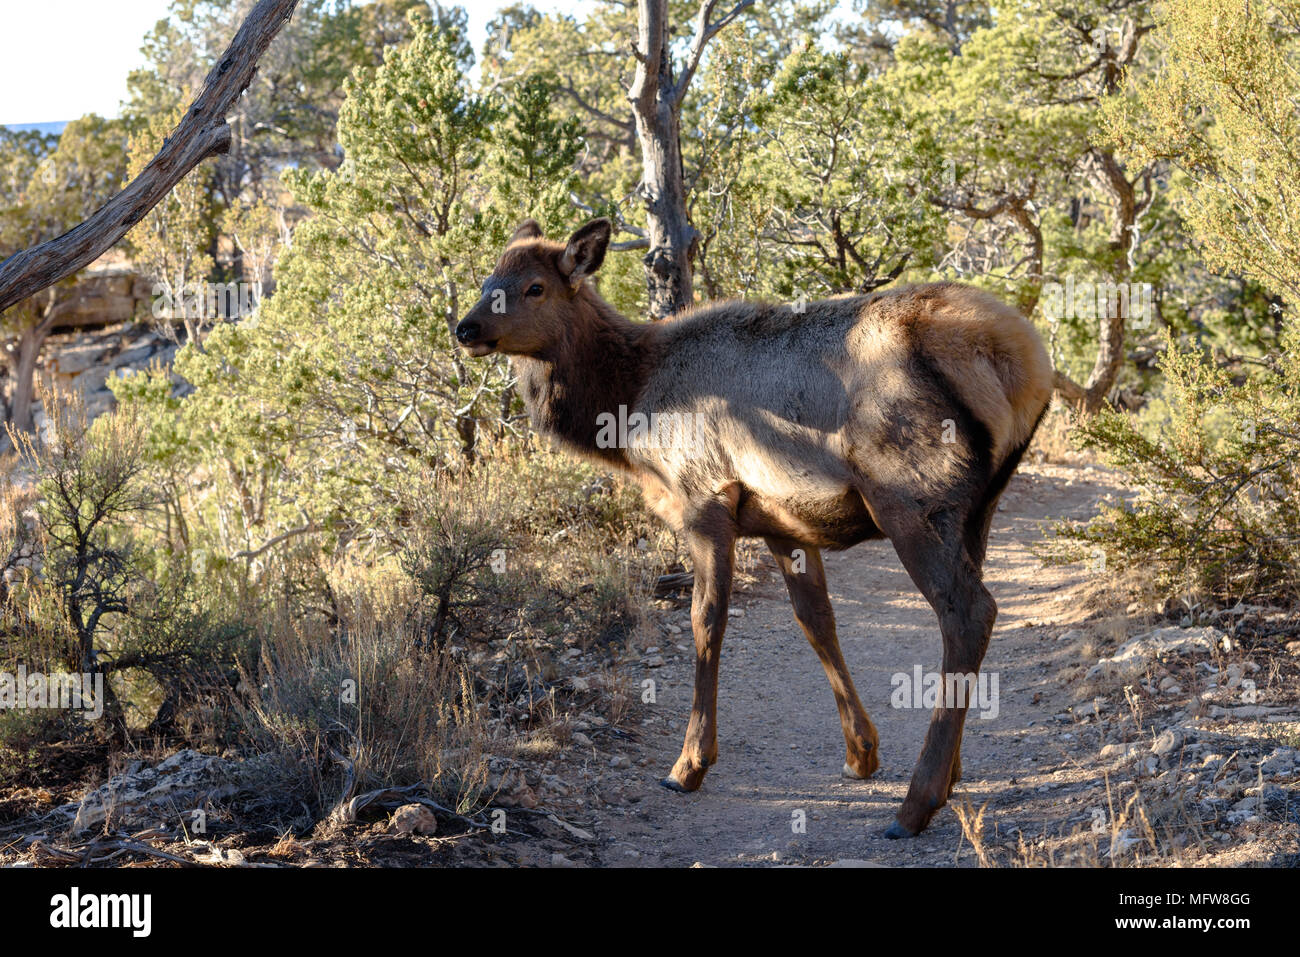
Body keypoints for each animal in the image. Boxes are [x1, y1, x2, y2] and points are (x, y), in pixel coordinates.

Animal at [457, 218, 1055, 837]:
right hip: (979, 509)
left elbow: (706, 622)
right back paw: (950, 775)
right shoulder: (782, 522)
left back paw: (915, 804)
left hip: (910, 498)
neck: (626, 409)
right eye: (489, 278)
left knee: (968, 613)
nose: (465, 327)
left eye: (534, 287)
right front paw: (860, 753)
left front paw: (689, 764)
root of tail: (1025, 363)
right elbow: (817, 621)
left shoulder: (705, 499)